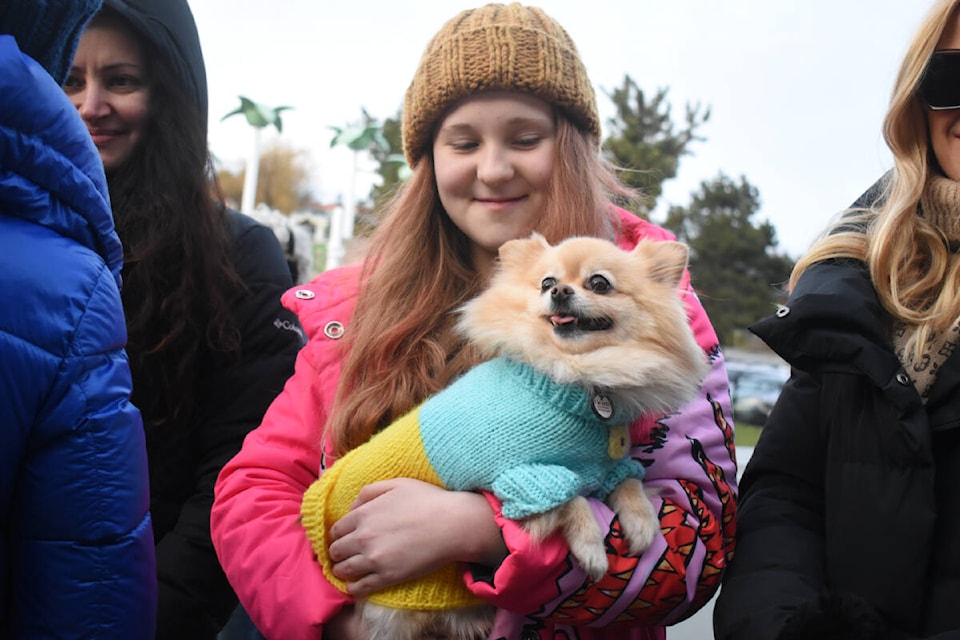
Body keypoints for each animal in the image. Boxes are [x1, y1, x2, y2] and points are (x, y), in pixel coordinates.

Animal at [304, 232, 708, 636]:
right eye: (546, 282)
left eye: (599, 283)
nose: (559, 291)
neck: (570, 374)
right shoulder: (517, 475)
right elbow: (572, 500)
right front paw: (593, 549)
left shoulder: (604, 466)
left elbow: (629, 482)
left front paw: (643, 523)